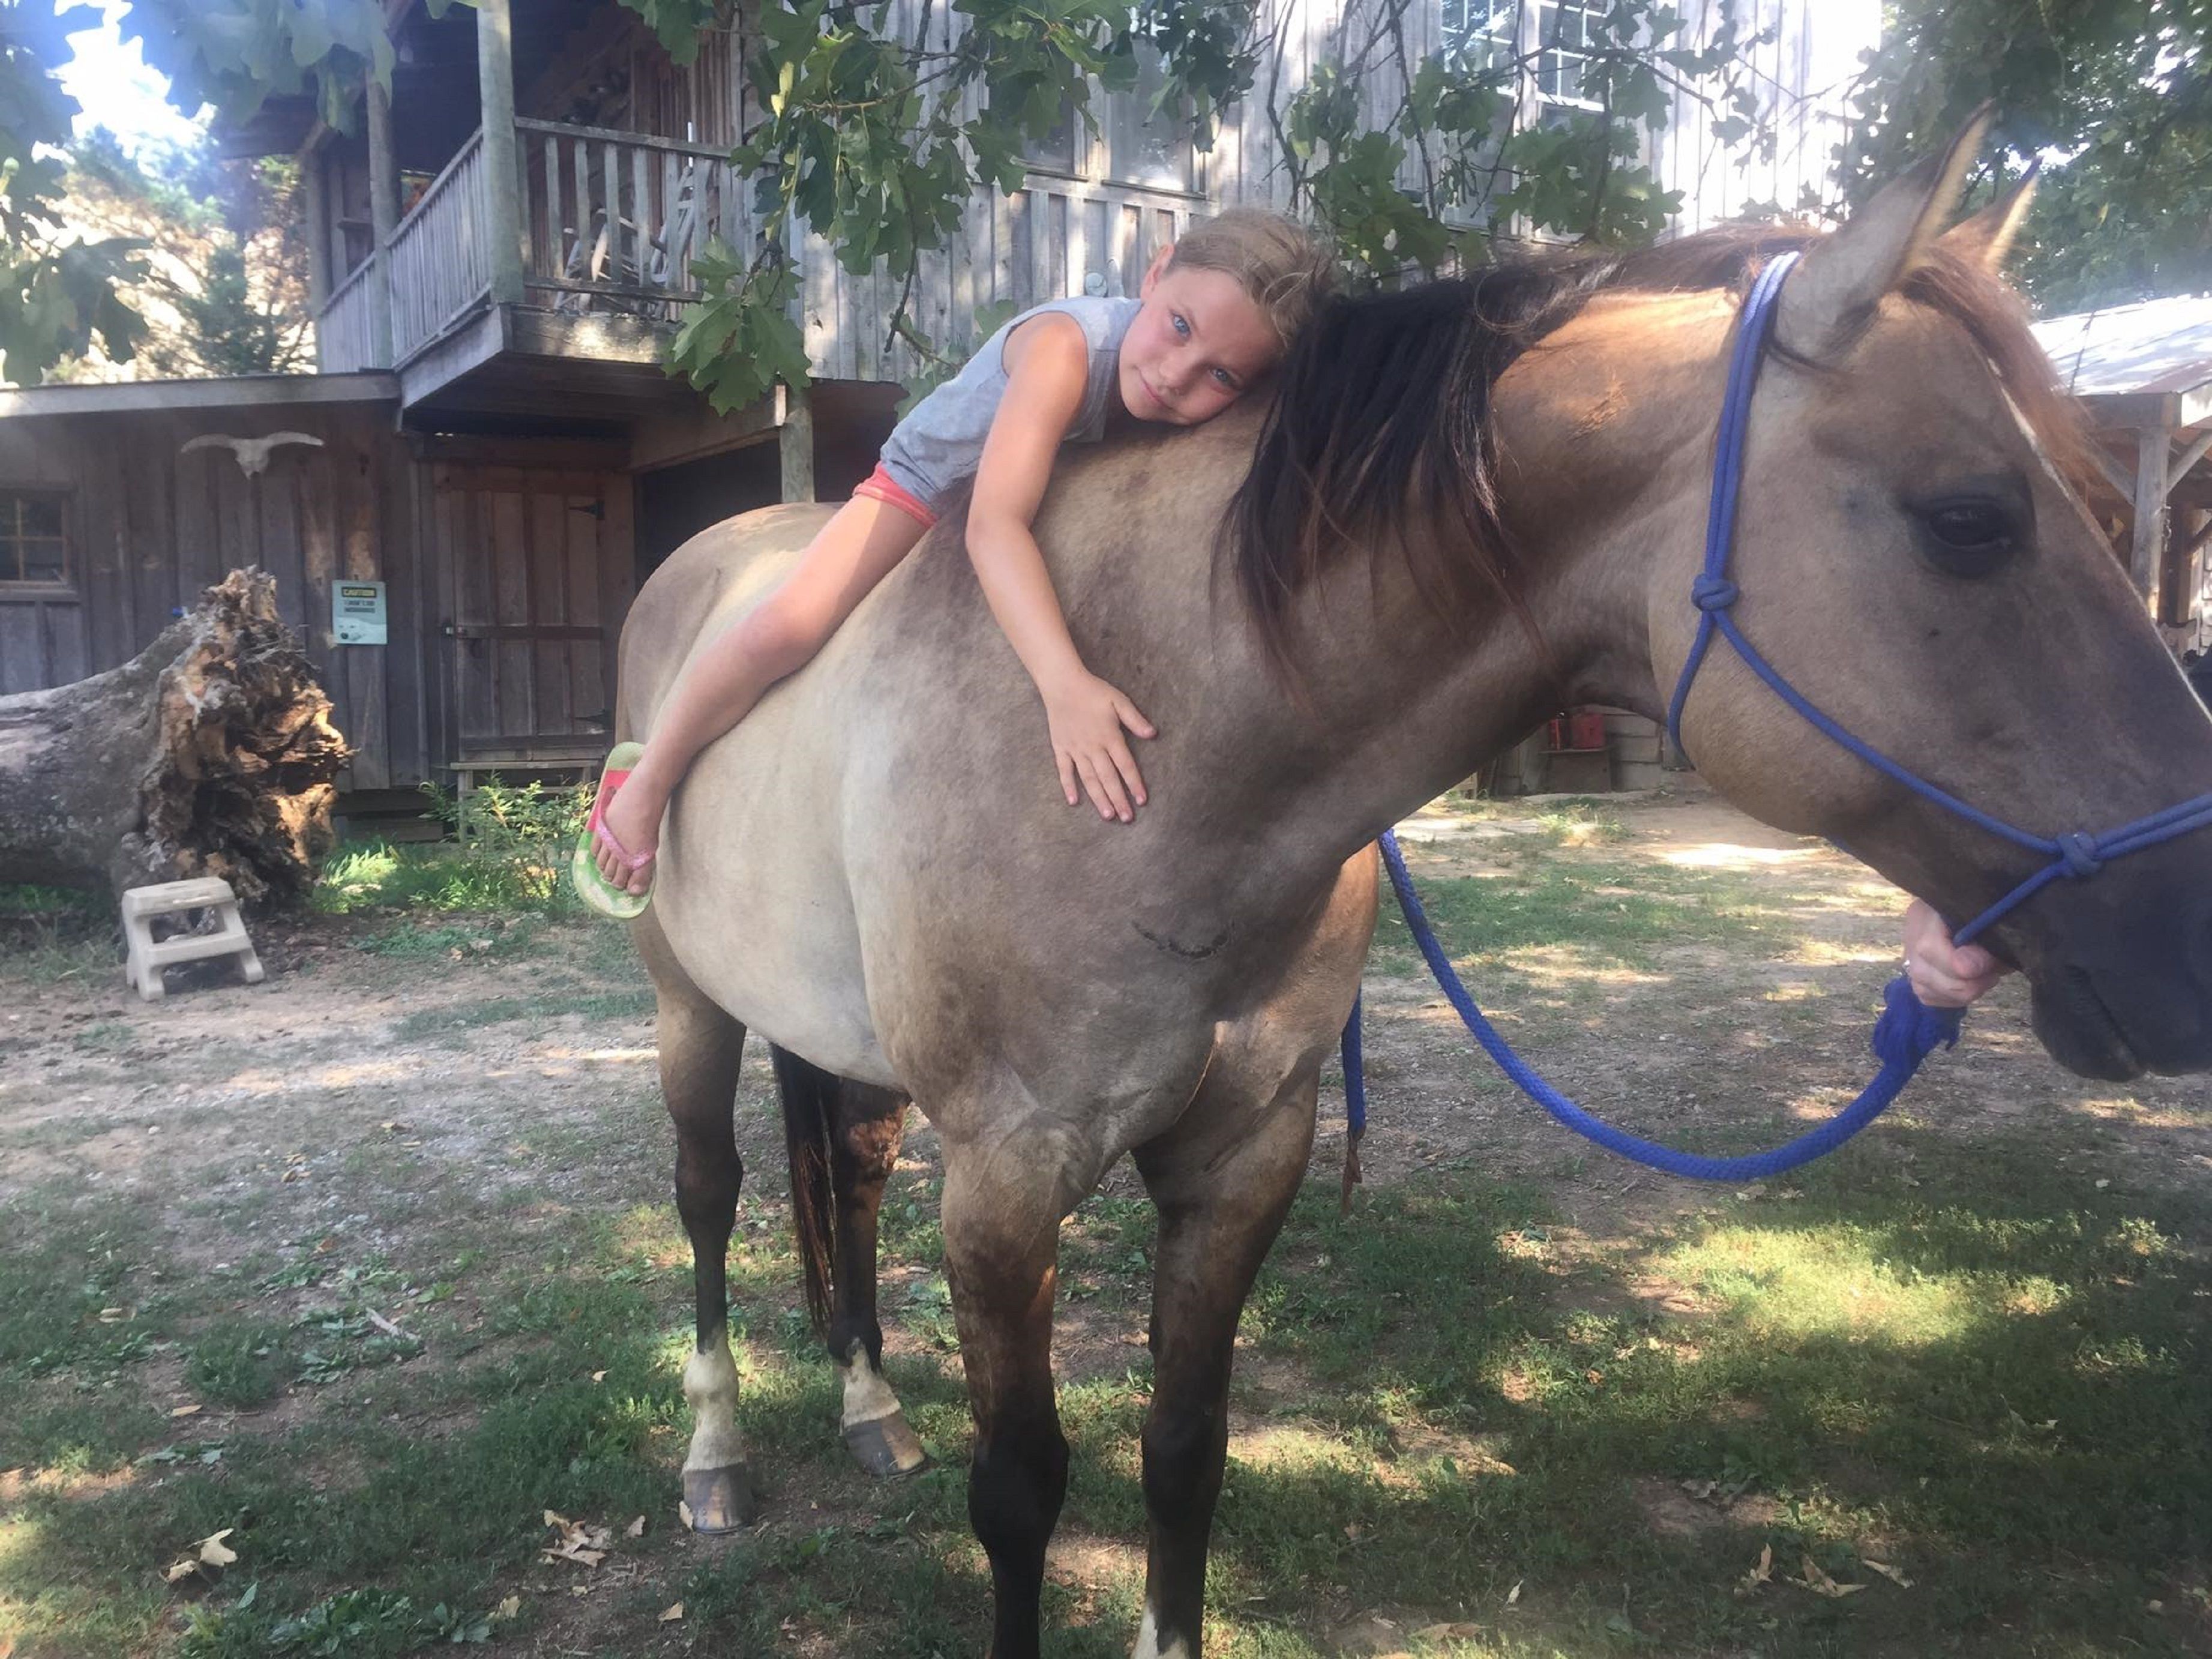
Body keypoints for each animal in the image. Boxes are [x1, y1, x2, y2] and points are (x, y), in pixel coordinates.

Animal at [616, 120, 2212, 1659]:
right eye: (1969, 518)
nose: (2184, 938)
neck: (1168, 730)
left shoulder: (1244, 1152)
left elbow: (1182, 1450)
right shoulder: (1008, 1179)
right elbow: (1019, 1490)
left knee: (848, 1172)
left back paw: (869, 1409)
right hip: (689, 1003)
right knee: (709, 1192)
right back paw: (713, 1456)